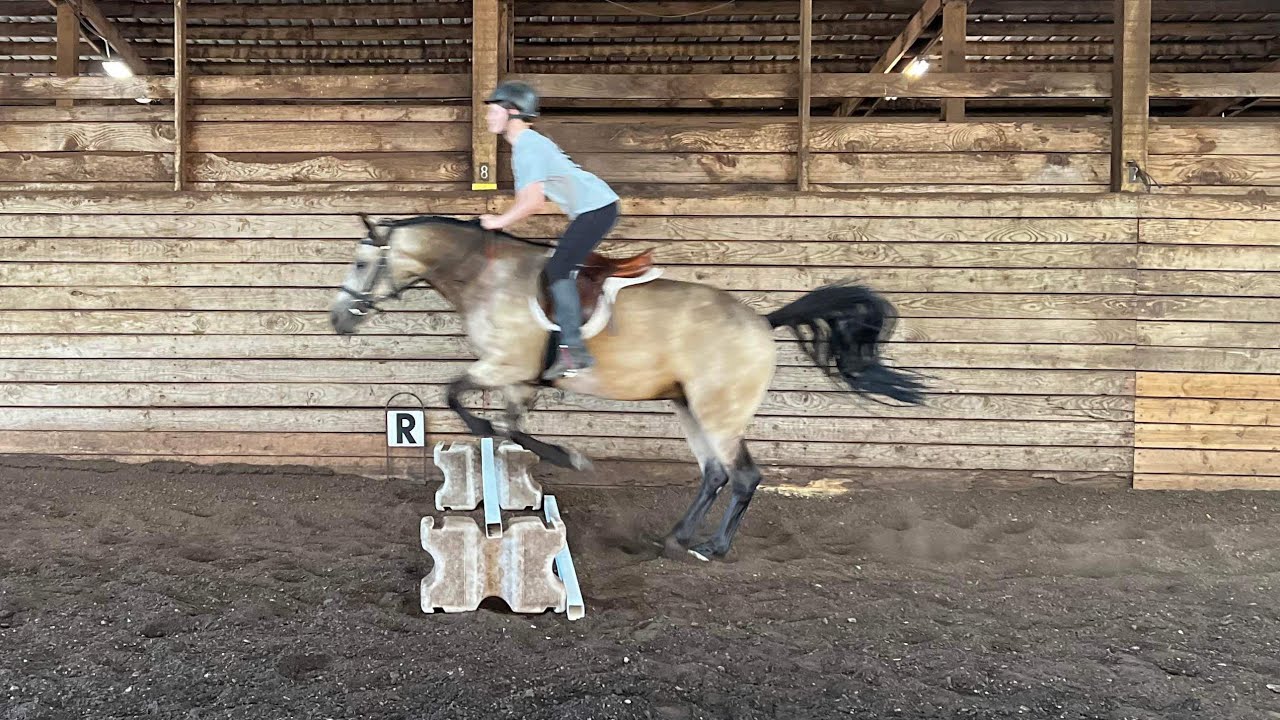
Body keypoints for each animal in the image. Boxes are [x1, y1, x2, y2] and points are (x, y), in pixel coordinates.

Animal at [329, 213, 926, 561]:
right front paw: (562, 455)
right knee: (713, 474)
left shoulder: (502, 365)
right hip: (688, 406)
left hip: (719, 411)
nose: (338, 318)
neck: (484, 275)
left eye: (359, 262)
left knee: (742, 476)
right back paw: (676, 538)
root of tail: (761, 321)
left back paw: (713, 548)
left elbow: (455, 397)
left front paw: (570, 458)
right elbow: (511, 428)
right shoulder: (520, 379)